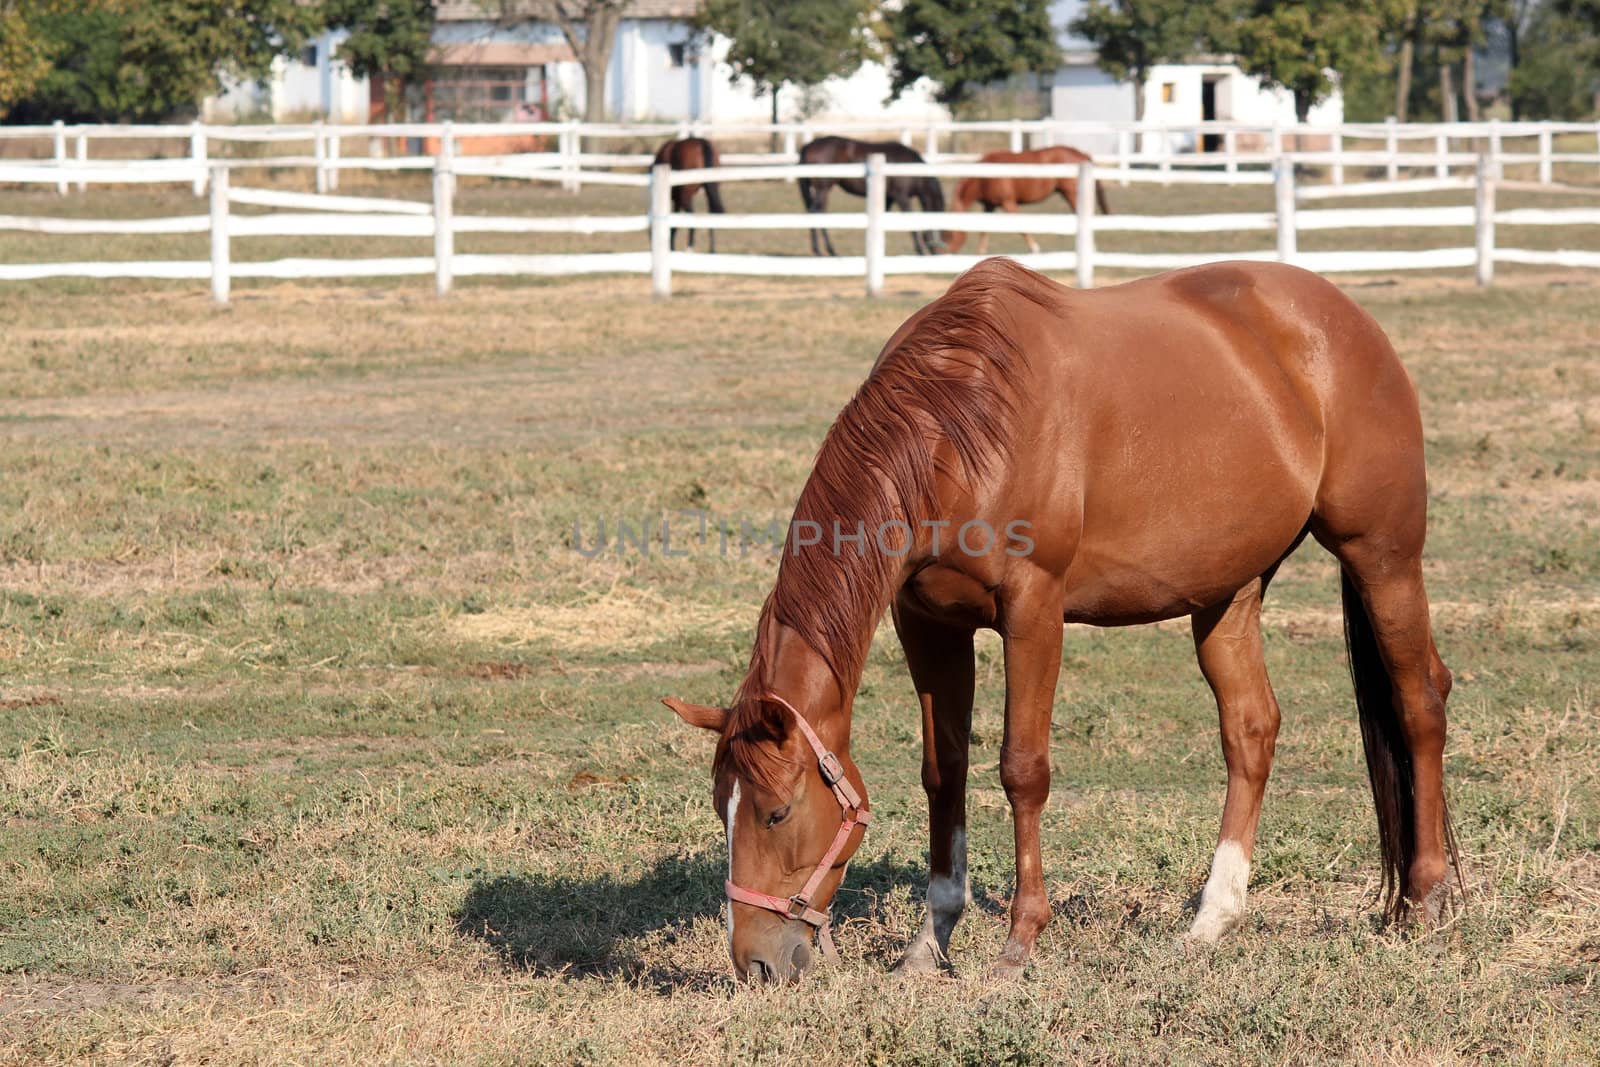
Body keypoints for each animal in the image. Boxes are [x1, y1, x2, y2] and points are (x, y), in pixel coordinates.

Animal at [665, 259, 1465, 985]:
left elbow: (1022, 769)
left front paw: (1020, 941)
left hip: (1383, 556)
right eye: (719, 809)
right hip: (1228, 592)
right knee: (1250, 730)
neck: (962, 426)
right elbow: (943, 773)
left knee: (1419, 699)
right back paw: (1212, 918)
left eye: (776, 813)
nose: (756, 964)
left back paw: (1424, 899)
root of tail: (1345, 321)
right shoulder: (927, 620)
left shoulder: (1033, 612)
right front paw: (930, 942)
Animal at [796, 136, 940, 257]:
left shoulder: (889, 198)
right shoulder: (902, 197)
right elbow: (911, 223)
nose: (938, 253)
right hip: (823, 189)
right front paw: (920, 251)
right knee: (815, 212)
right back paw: (821, 251)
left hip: (823, 190)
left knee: (820, 212)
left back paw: (829, 251)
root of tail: (809, 145)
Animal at [934, 144, 1113, 255]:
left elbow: (1021, 226)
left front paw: (1034, 248)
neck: (984, 178)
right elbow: (984, 230)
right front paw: (980, 253)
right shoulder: (990, 206)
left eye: (948, 233)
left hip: (1072, 194)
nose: (941, 253)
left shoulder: (1008, 203)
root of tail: (1082, 155)